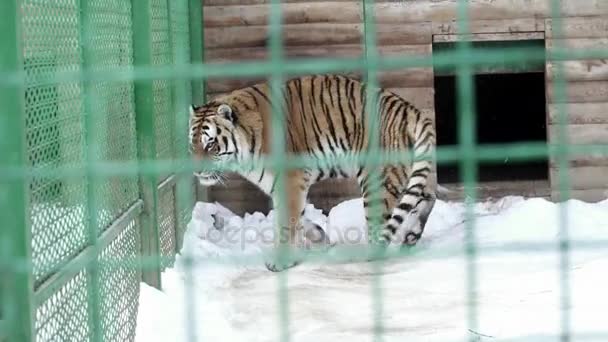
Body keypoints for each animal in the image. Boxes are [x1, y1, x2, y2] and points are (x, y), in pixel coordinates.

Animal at [188, 73, 434, 272]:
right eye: (193, 144)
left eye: (210, 144)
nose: (196, 171)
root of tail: (410, 110)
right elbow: (300, 218)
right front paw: (320, 239)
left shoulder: (290, 179)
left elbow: (287, 222)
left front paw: (280, 262)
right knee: (426, 198)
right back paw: (411, 236)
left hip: (377, 182)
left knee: (380, 225)